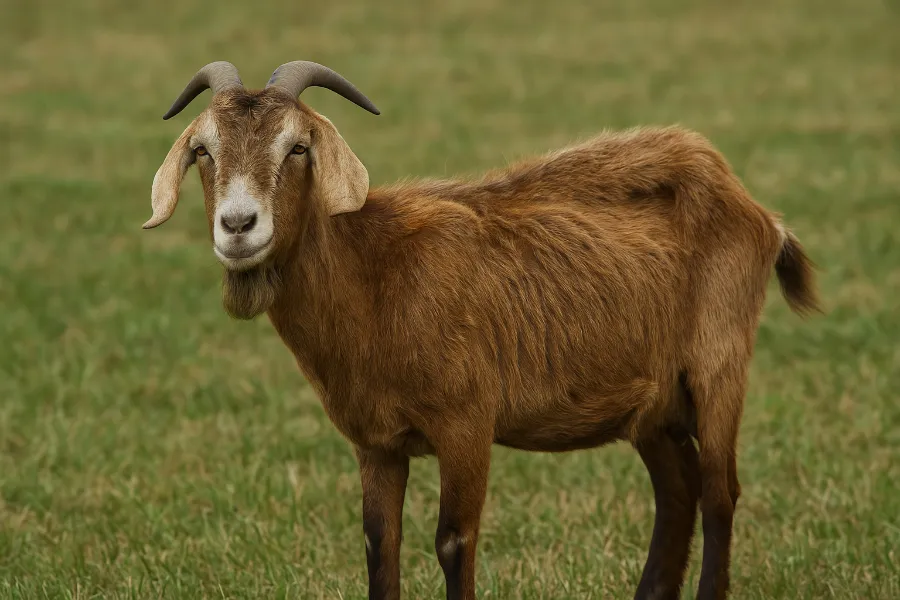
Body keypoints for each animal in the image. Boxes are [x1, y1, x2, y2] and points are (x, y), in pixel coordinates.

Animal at [144, 60, 820, 600]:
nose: (238, 225)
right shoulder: (376, 443)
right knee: (678, 492)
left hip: (718, 362)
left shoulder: (466, 422)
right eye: (204, 151)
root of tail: (755, 209)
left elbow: (454, 541)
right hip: (653, 403)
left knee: (719, 494)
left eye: (297, 148)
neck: (376, 275)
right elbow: (379, 546)